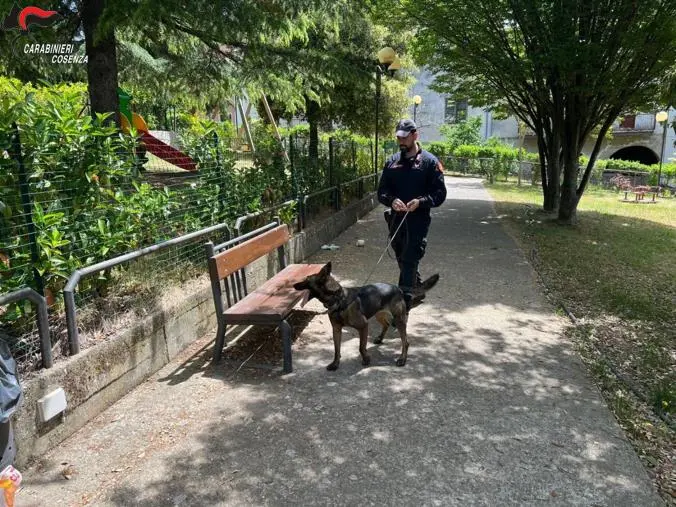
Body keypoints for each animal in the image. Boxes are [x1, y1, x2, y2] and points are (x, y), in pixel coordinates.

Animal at [294, 264, 440, 372]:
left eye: (306, 280)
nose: (293, 285)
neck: (339, 299)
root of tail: (397, 288)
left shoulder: (363, 326)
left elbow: (361, 347)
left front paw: (366, 359)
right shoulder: (336, 329)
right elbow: (336, 349)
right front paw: (335, 364)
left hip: (399, 320)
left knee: (406, 341)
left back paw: (402, 359)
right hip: (379, 314)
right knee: (386, 324)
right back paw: (380, 338)